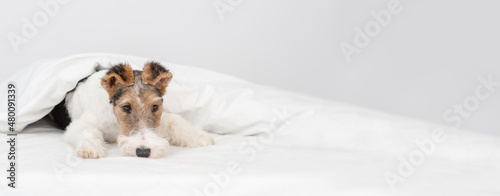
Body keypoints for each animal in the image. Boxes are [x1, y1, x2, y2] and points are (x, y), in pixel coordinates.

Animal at [54, 62, 213, 158]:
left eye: (155, 106)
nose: (143, 151)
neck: (115, 120)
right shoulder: (79, 124)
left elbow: (174, 121)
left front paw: (201, 137)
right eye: (126, 107)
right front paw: (91, 148)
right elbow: (88, 130)